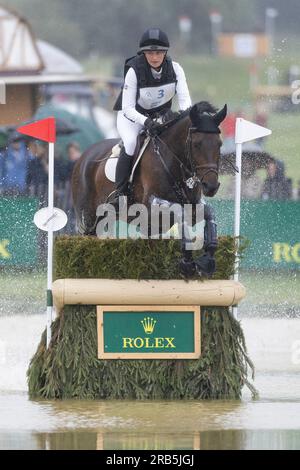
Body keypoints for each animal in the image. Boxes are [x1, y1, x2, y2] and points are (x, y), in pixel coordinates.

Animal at [72, 99, 227, 276]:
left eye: (219, 144)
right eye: (197, 144)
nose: (211, 186)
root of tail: (83, 157)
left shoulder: (192, 206)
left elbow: (208, 212)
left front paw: (208, 260)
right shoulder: (150, 209)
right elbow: (178, 210)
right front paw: (187, 263)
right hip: (89, 217)